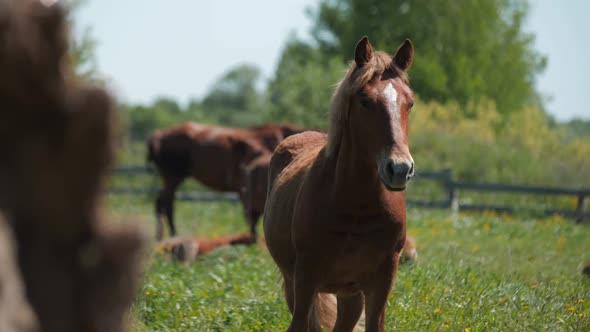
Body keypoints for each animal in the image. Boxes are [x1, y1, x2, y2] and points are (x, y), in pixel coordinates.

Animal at [147, 120, 310, 240]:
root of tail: (157, 136)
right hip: (172, 177)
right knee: (165, 205)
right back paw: (171, 235)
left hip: (172, 179)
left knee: (162, 204)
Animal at [266, 37, 418, 332]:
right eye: (365, 102)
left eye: (410, 103)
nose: (399, 169)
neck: (355, 207)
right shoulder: (306, 276)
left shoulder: (382, 278)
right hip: (296, 283)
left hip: (350, 294)